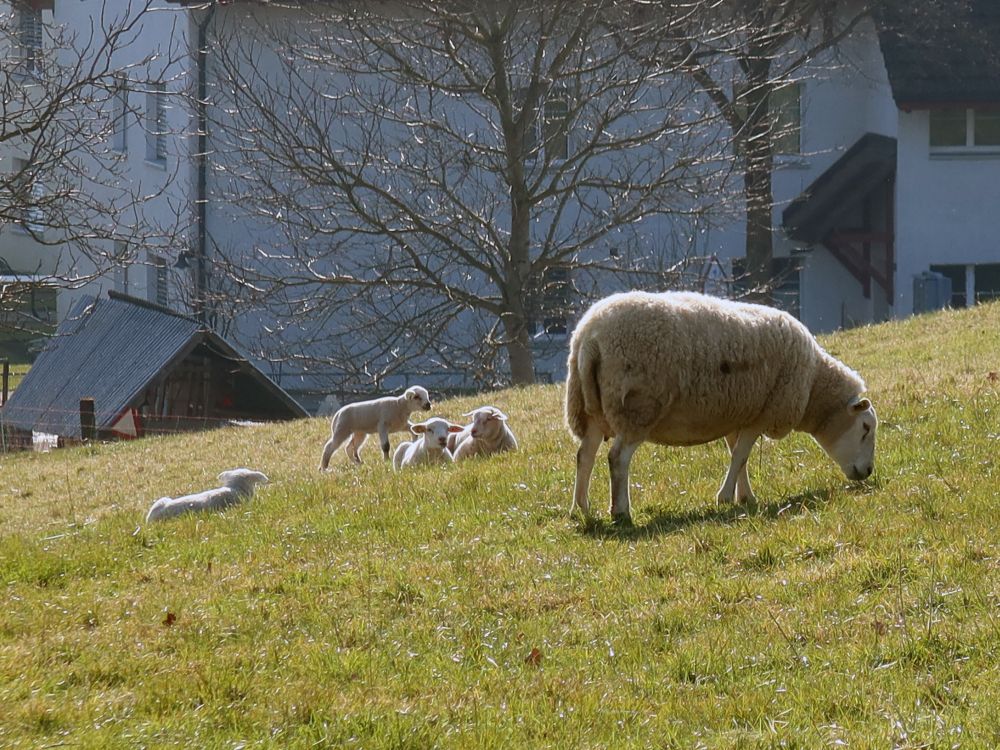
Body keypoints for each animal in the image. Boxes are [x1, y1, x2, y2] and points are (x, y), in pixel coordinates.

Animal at [568, 292, 880, 524]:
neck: (813, 384)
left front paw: (746, 497)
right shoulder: (762, 412)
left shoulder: (738, 415)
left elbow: (737, 455)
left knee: (585, 455)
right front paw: (726, 497)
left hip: (590, 409)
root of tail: (590, 337)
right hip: (637, 408)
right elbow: (741, 455)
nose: (867, 472)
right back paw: (621, 512)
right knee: (617, 458)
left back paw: (581, 508)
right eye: (865, 428)